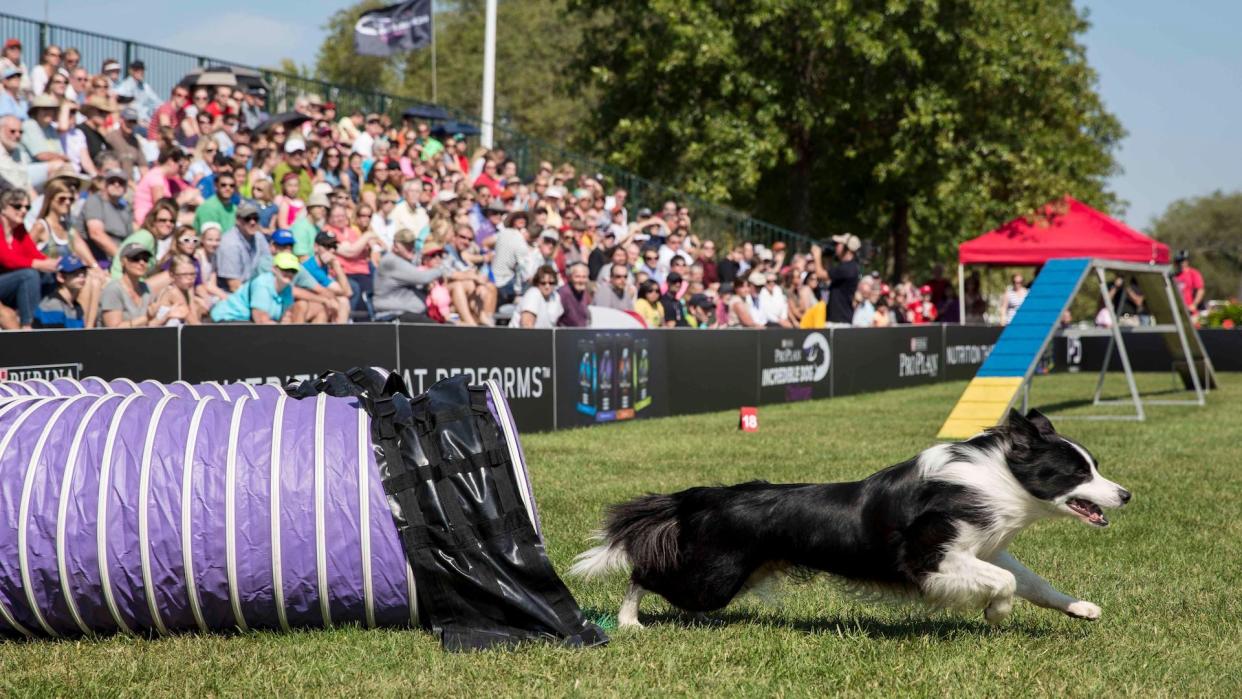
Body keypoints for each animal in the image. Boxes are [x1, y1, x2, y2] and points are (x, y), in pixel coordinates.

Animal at [568, 409, 1132, 628]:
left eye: (1095, 466)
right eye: (1077, 472)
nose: (1126, 495)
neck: (997, 477)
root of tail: (705, 495)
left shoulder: (986, 547)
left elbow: (1032, 581)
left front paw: (1082, 609)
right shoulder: (929, 557)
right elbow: (1006, 584)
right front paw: (997, 613)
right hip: (713, 579)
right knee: (644, 571)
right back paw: (629, 621)